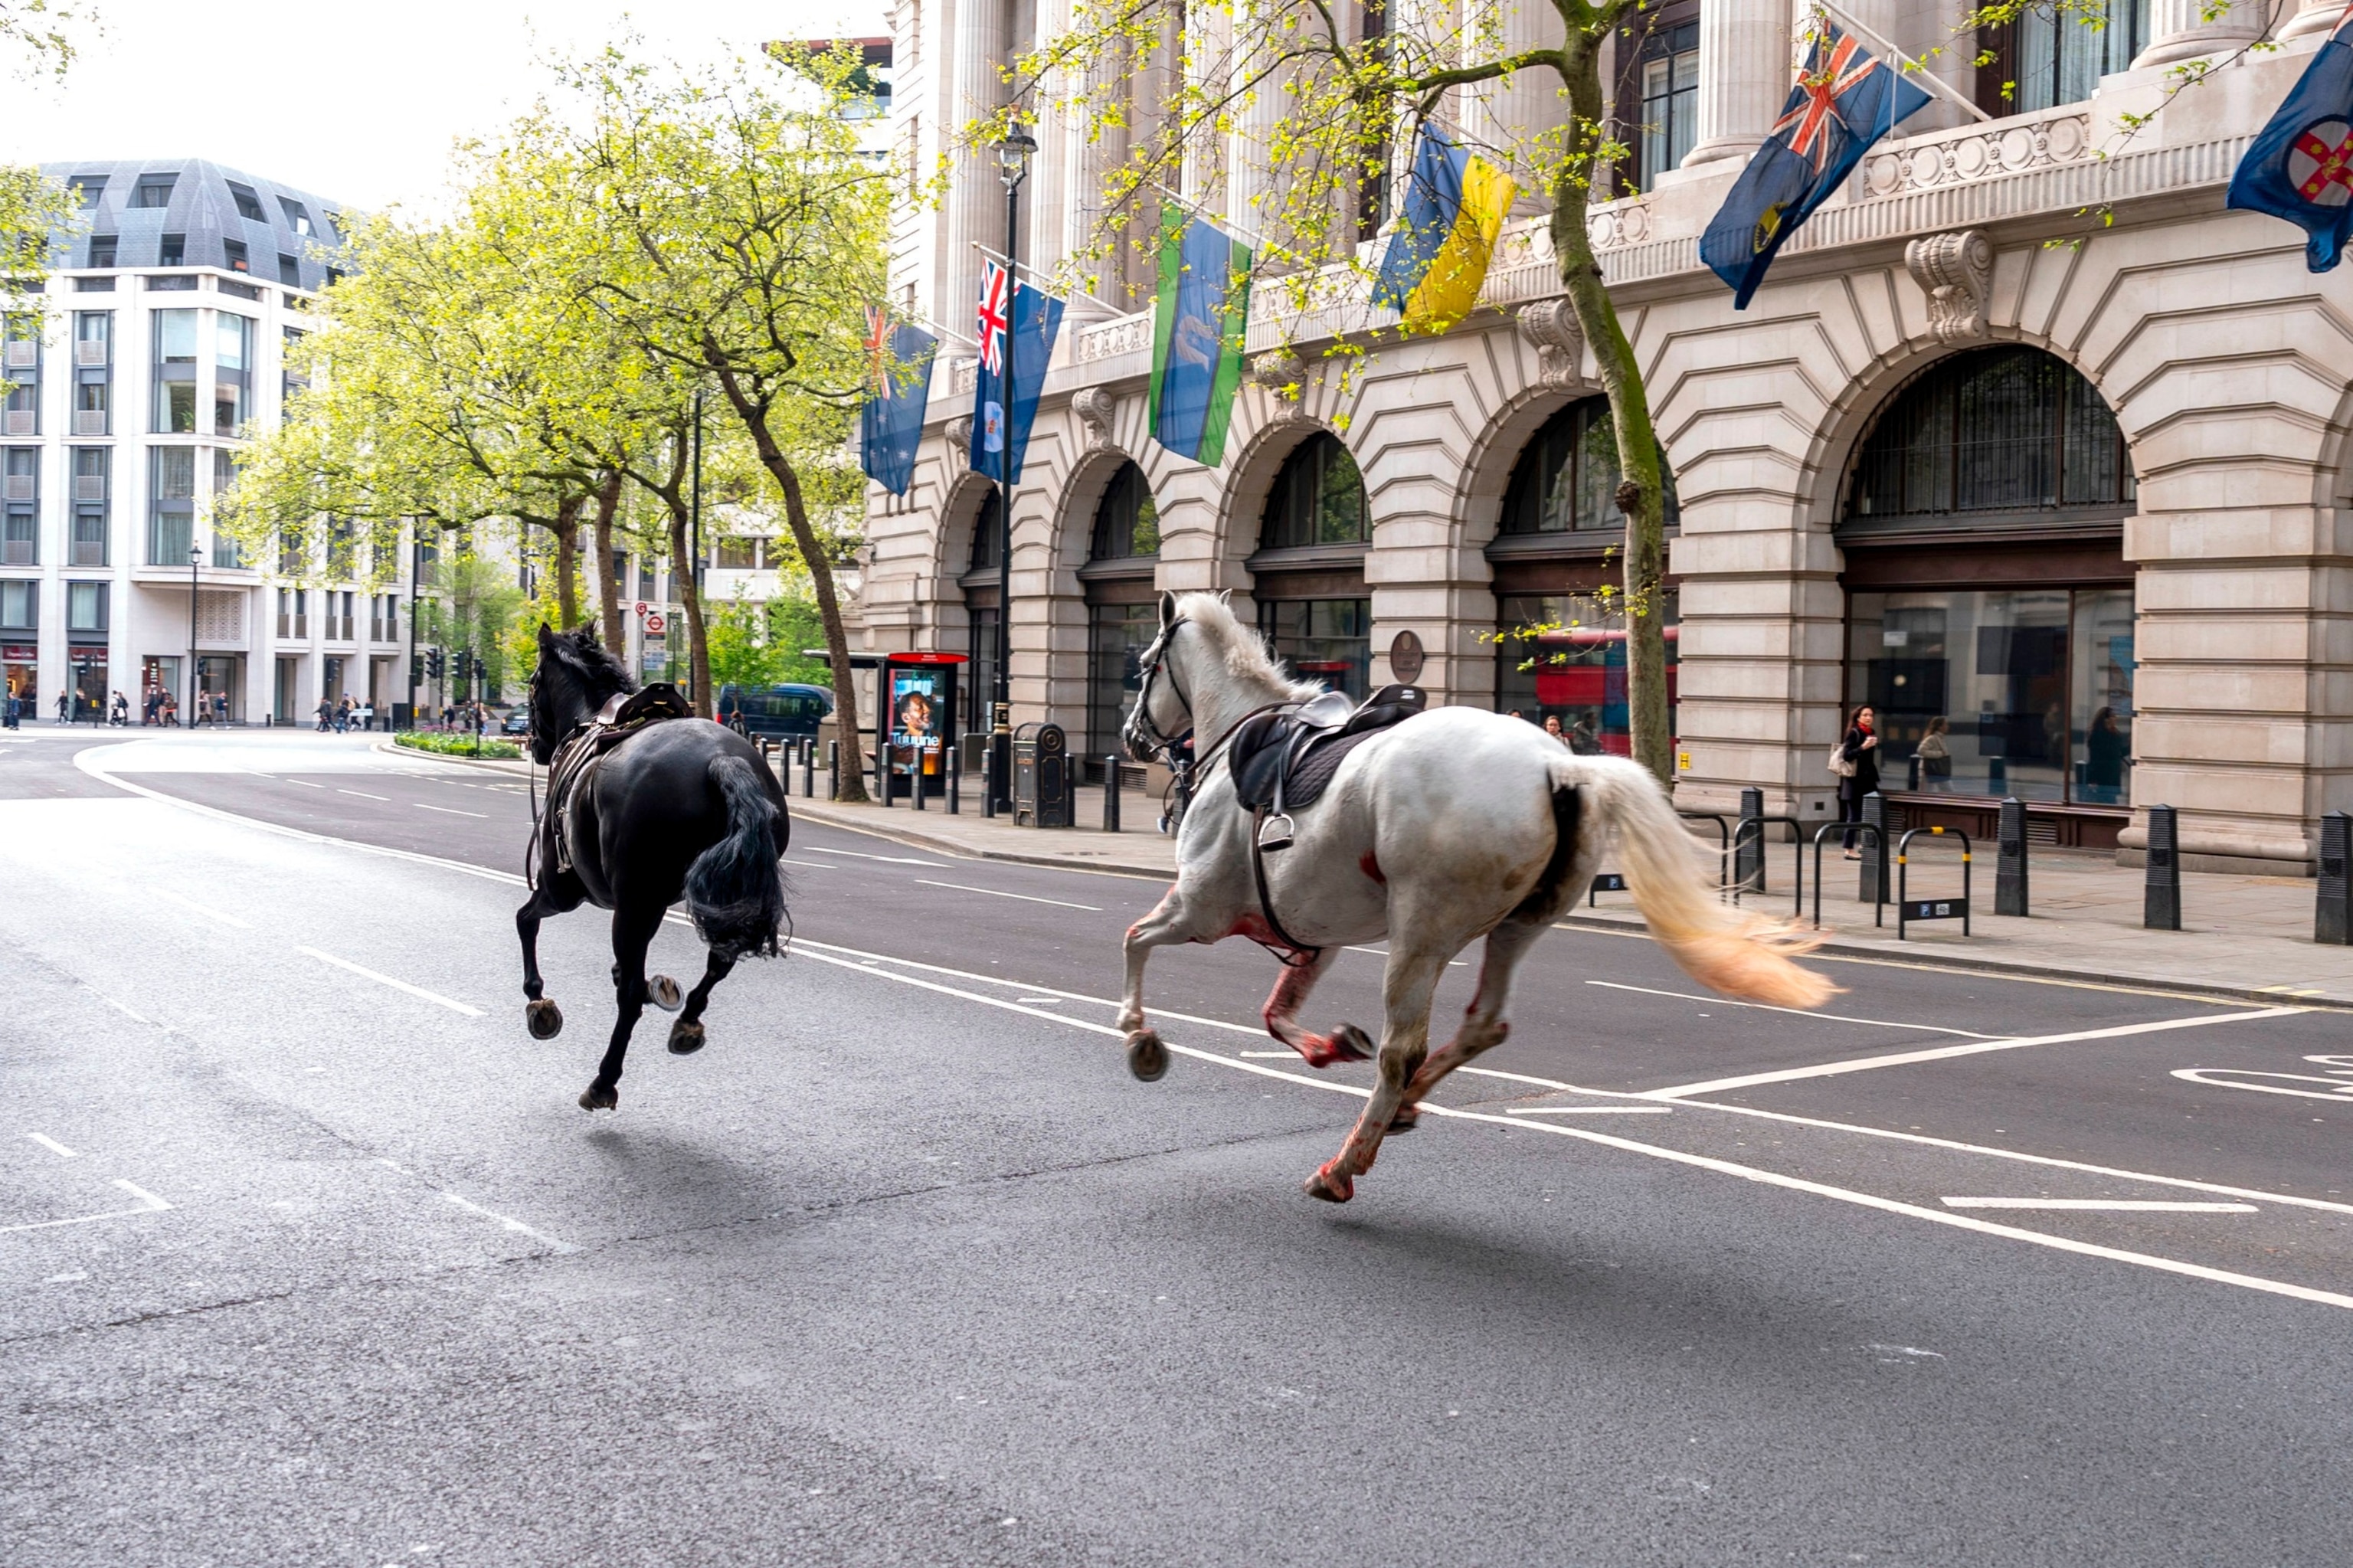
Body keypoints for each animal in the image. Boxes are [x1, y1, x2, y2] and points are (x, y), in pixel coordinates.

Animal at [517, 621, 790, 1111]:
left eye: (533, 683)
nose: (537, 746)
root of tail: (721, 760)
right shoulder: (656, 902)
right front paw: (658, 988)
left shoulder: (562, 889)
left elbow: (525, 921)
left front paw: (538, 1001)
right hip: (723, 893)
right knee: (720, 960)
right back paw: (687, 1021)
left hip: (625, 901)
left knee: (627, 1000)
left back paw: (603, 1081)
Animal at [1120, 586, 1835, 1196]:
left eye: (1146, 665)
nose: (1131, 736)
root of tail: (1559, 763)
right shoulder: (1314, 932)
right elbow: (1276, 1012)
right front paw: (1329, 1044)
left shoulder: (1201, 908)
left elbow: (1135, 940)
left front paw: (1138, 1036)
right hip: (1518, 924)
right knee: (1482, 1024)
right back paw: (1403, 1107)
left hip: (1420, 932)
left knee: (1402, 1050)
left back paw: (1345, 1164)